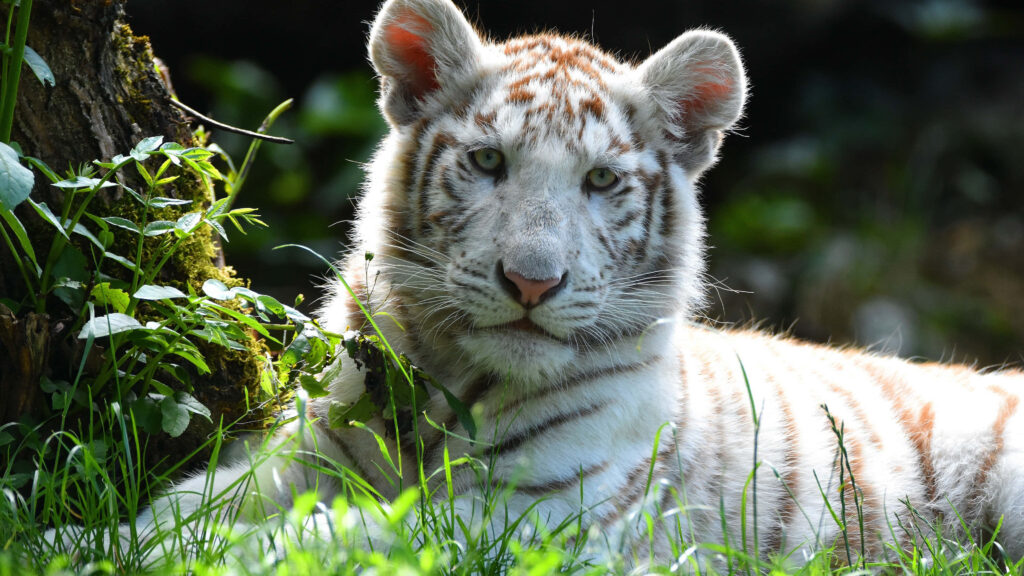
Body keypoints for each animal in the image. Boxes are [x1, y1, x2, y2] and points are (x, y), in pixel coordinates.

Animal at [48, 0, 1024, 568]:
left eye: (600, 181)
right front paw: (76, 539)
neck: (450, 387)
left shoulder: (534, 519)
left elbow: (343, 537)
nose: (531, 282)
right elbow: (185, 511)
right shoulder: (296, 461)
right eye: (488, 162)